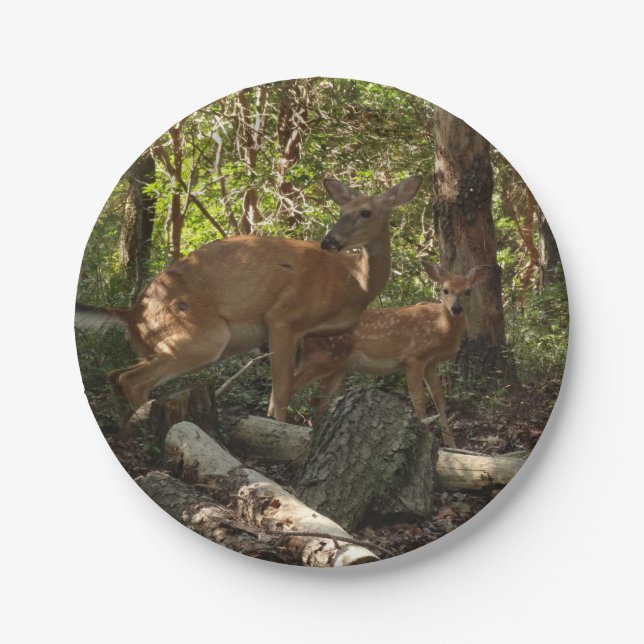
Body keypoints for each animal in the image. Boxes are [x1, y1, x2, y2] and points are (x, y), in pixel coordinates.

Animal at [75, 175, 423, 424]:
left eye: (366, 212)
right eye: (342, 211)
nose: (329, 241)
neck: (354, 280)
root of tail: (132, 314)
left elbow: (283, 390)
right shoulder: (284, 317)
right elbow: (281, 391)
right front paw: (281, 429)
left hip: (157, 344)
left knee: (116, 374)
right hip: (205, 334)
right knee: (133, 380)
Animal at [289, 262, 491, 447]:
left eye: (468, 291)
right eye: (445, 290)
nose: (456, 309)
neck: (440, 327)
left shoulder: (430, 363)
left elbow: (439, 397)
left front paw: (452, 446)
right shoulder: (413, 357)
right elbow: (418, 399)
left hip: (337, 367)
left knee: (318, 400)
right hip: (320, 358)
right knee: (290, 385)